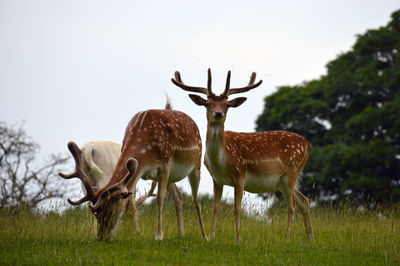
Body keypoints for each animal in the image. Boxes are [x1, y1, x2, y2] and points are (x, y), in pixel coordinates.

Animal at [61, 108, 209, 241]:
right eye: (96, 214)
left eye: (110, 211)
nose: (101, 237)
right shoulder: (137, 174)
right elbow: (131, 203)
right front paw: (135, 233)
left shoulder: (165, 164)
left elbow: (159, 199)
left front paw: (158, 236)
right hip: (172, 176)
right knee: (178, 197)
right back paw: (181, 234)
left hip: (196, 164)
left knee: (196, 199)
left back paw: (205, 236)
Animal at [172, 69, 316, 243]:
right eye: (207, 103)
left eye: (227, 105)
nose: (218, 113)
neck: (221, 160)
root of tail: (308, 144)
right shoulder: (216, 179)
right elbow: (215, 207)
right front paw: (210, 238)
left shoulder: (240, 174)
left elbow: (236, 209)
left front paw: (237, 240)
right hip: (281, 181)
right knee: (304, 201)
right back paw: (310, 239)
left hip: (291, 172)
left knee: (292, 206)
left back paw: (286, 239)